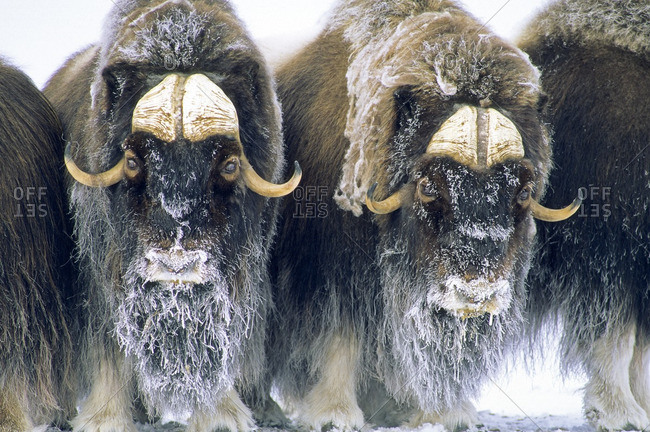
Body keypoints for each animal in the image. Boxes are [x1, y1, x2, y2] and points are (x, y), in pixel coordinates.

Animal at [43, 1, 301, 431]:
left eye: (229, 164)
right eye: (133, 161)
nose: (176, 266)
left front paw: (222, 416)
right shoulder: (105, 274)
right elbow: (111, 346)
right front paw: (105, 420)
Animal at [269, 0, 581, 430]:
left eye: (522, 192)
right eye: (430, 187)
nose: (475, 293)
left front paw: (443, 414)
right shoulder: (334, 271)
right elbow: (341, 337)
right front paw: (336, 414)